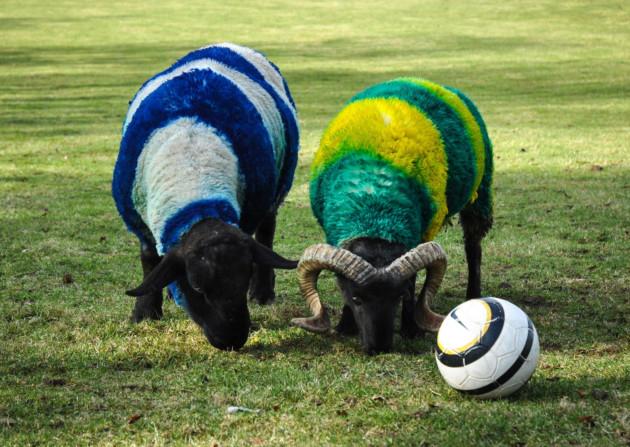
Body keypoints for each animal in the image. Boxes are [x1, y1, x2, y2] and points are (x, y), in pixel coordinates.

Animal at [112, 43, 300, 352]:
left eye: (243, 278)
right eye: (197, 286)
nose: (232, 340)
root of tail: (229, 44)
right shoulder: (139, 224)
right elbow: (148, 261)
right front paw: (145, 313)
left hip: (278, 184)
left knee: (267, 231)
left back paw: (262, 293)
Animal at [292, 79, 494, 356]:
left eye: (398, 297)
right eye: (356, 298)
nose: (380, 348)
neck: (374, 209)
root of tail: (424, 80)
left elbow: (414, 281)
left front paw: (411, 328)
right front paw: (345, 325)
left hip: (479, 194)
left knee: (473, 248)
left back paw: (473, 294)